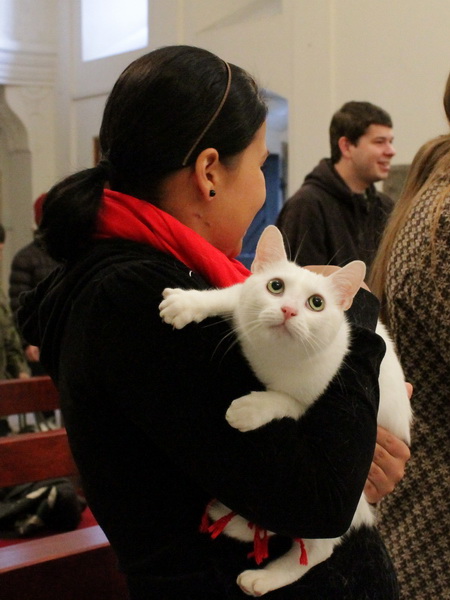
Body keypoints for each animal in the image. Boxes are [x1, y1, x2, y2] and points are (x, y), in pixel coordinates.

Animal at [160, 224, 414, 596]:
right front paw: (188, 302)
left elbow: (287, 400)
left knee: (322, 547)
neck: (273, 354)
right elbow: (231, 294)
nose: (289, 311)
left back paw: (265, 576)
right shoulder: (244, 300)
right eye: (275, 286)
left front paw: (250, 408)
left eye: (316, 303)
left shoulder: (317, 390)